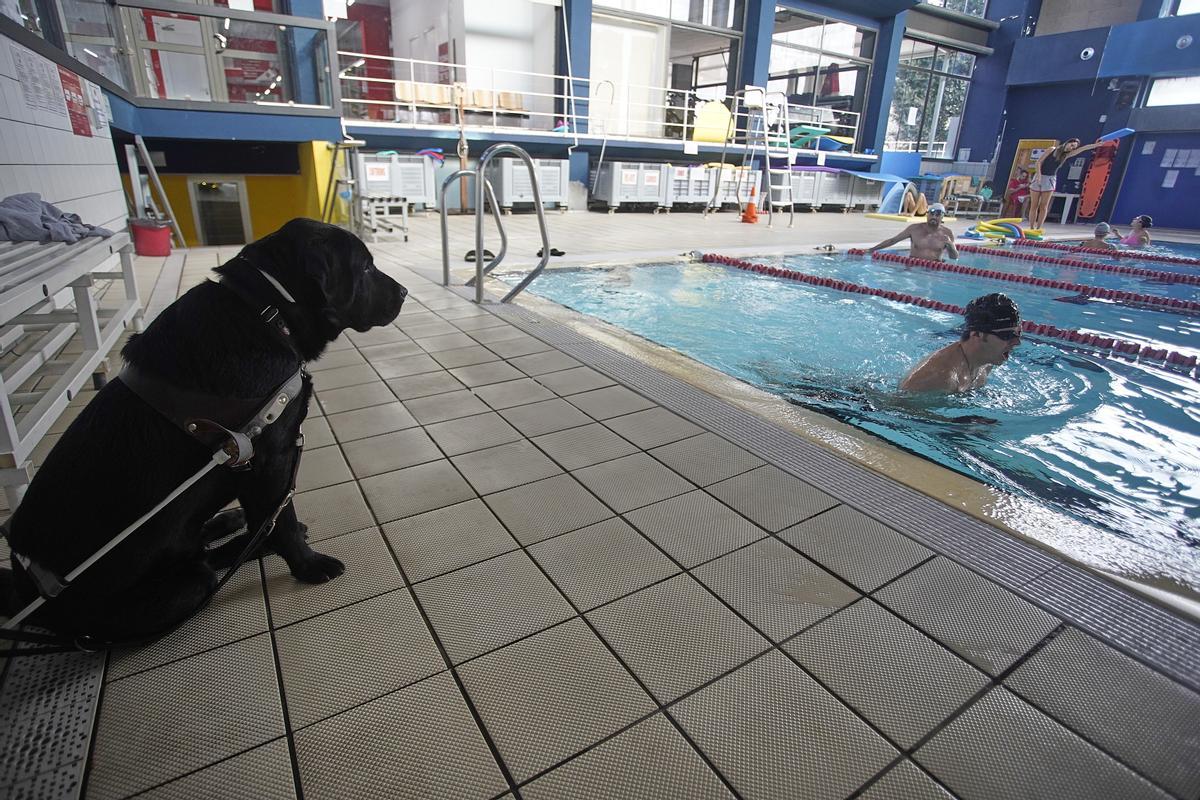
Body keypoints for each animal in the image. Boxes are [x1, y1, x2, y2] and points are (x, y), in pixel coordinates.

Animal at [0, 215, 408, 642]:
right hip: (183, 586)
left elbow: (270, 517)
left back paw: (230, 525)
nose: (405, 292)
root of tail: (24, 593)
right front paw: (307, 565)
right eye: (366, 268)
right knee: (206, 567)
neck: (266, 311)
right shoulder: (270, 459)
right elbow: (281, 520)